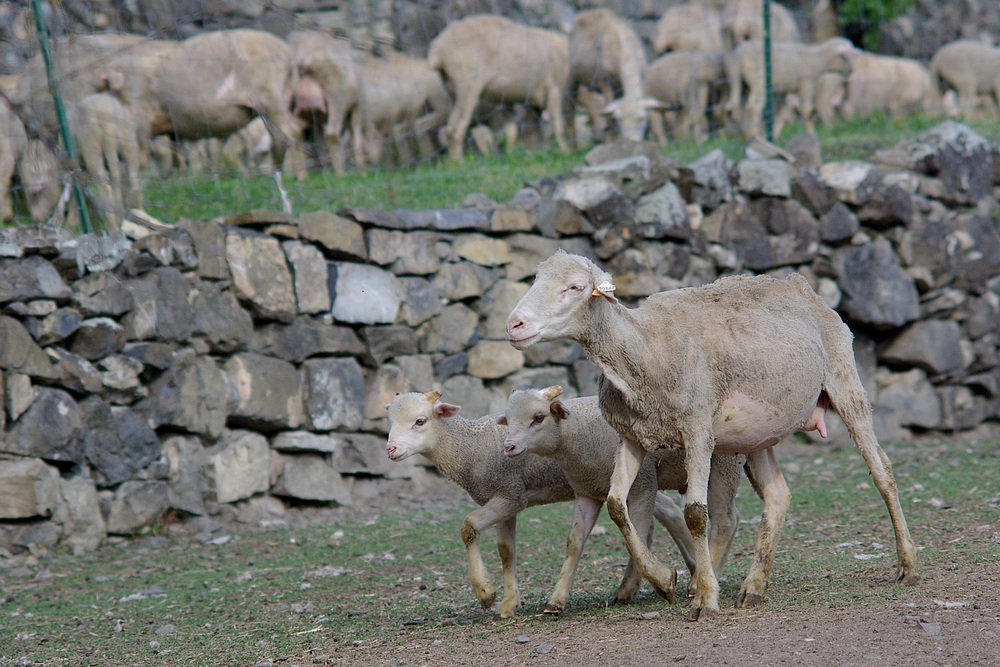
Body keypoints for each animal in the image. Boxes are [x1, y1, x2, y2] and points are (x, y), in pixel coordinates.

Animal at [428, 14, 572, 160]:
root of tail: (438, 48)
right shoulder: (554, 88)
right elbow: (558, 124)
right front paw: (565, 152)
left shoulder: (511, 101)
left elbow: (513, 131)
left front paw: (514, 155)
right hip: (468, 85)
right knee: (456, 129)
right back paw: (460, 161)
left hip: (452, 88)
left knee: (448, 130)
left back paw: (454, 160)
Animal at [500, 386, 752, 612]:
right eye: (508, 420)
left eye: (538, 417)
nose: (508, 447)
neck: (577, 437)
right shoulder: (586, 493)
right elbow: (574, 542)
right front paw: (557, 599)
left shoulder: (644, 486)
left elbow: (636, 534)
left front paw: (647, 585)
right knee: (737, 515)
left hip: (724, 463)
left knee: (724, 521)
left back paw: (700, 582)